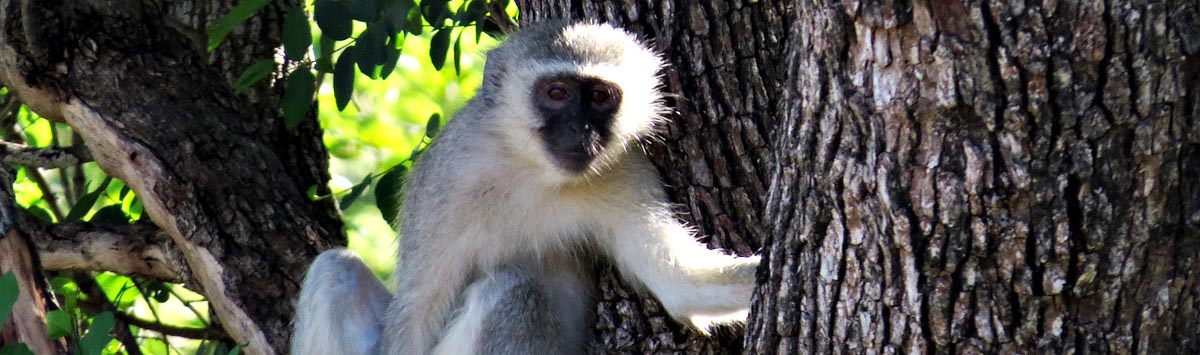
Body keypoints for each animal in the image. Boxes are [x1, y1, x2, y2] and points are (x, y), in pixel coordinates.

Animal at [290, 20, 758, 352]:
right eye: (557, 93)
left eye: (601, 96)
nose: (579, 130)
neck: (532, 170)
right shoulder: (445, 179)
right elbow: (418, 311)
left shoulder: (628, 174)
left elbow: (679, 282)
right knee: (338, 269)